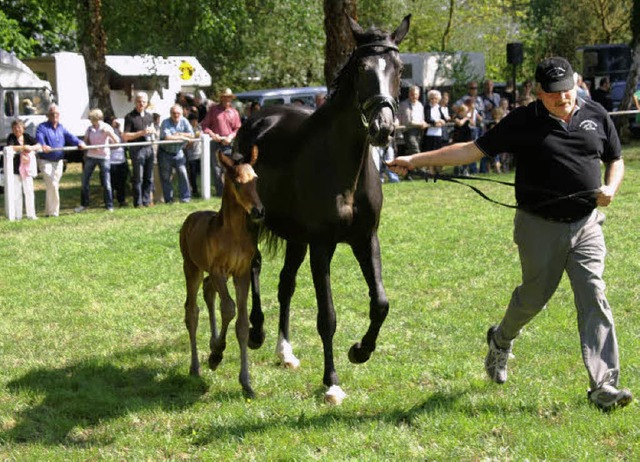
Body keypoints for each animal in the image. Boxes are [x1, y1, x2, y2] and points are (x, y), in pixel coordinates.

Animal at [179, 148, 264, 398]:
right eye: (237, 182)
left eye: (256, 179)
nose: (258, 211)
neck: (233, 234)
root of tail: (191, 218)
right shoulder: (218, 270)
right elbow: (229, 308)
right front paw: (216, 353)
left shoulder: (241, 273)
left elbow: (243, 324)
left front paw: (246, 383)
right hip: (191, 267)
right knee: (192, 310)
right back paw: (195, 366)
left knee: (208, 290)